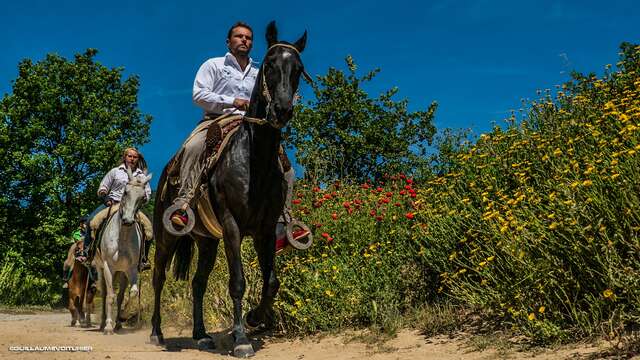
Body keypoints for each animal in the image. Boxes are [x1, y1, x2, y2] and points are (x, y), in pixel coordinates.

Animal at [94, 169, 152, 334]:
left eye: (142, 197)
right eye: (125, 192)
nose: (127, 220)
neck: (123, 236)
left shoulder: (131, 269)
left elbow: (132, 293)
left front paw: (123, 318)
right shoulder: (108, 267)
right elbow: (110, 296)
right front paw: (108, 326)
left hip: (122, 273)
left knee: (120, 296)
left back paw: (118, 324)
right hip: (101, 269)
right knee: (105, 293)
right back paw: (102, 324)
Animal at [151, 22, 308, 358]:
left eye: (299, 68)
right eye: (270, 65)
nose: (281, 110)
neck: (253, 160)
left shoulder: (265, 230)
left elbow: (271, 281)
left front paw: (257, 319)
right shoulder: (231, 225)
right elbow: (238, 281)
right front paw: (241, 338)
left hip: (207, 241)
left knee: (198, 283)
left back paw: (201, 335)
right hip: (167, 236)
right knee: (158, 277)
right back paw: (157, 333)